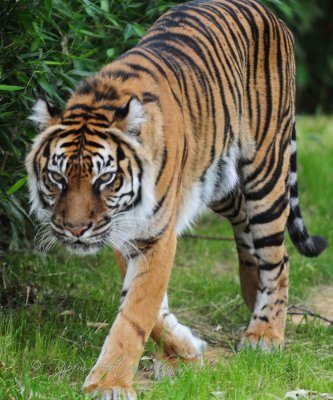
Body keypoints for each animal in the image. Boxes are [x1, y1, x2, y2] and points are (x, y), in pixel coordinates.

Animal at [25, 0, 324, 396]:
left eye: (105, 179)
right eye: (57, 178)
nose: (75, 230)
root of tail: (267, 11)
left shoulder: (152, 234)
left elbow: (136, 312)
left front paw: (108, 384)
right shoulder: (126, 233)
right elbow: (150, 308)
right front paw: (184, 351)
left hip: (266, 171)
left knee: (278, 257)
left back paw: (265, 334)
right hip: (220, 184)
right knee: (247, 233)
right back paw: (251, 297)